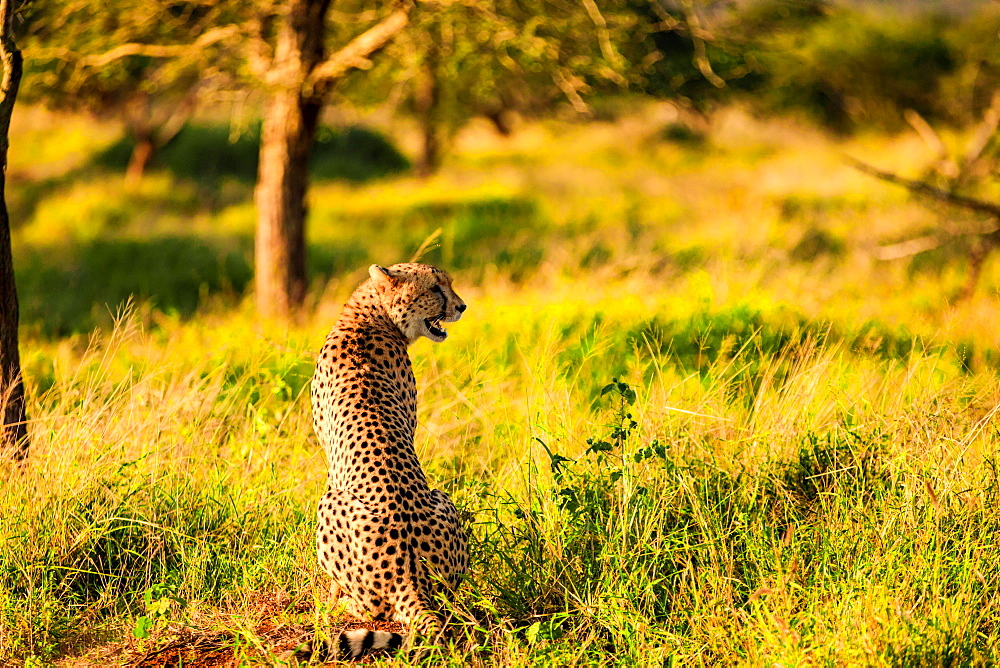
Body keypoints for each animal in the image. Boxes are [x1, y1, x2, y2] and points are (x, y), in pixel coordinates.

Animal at [308, 260, 468, 656]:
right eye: (436, 288)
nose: (462, 307)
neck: (371, 315)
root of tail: (408, 574)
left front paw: (329, 595)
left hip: (329, 501)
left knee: (373, 609)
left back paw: (341, 602)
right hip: (442, 501)